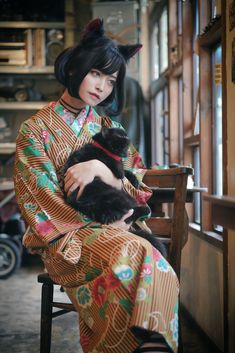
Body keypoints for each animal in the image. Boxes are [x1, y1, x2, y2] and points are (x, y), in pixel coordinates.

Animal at [61, 126, 166, 256]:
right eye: (120, 137)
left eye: (125, 135)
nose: (128, 139)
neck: (102, 148)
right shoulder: (111, 165)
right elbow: (120, 171)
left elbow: (127, 172)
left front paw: (135, 181)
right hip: (121, 196)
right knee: (132, 211)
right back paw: (145, 209)